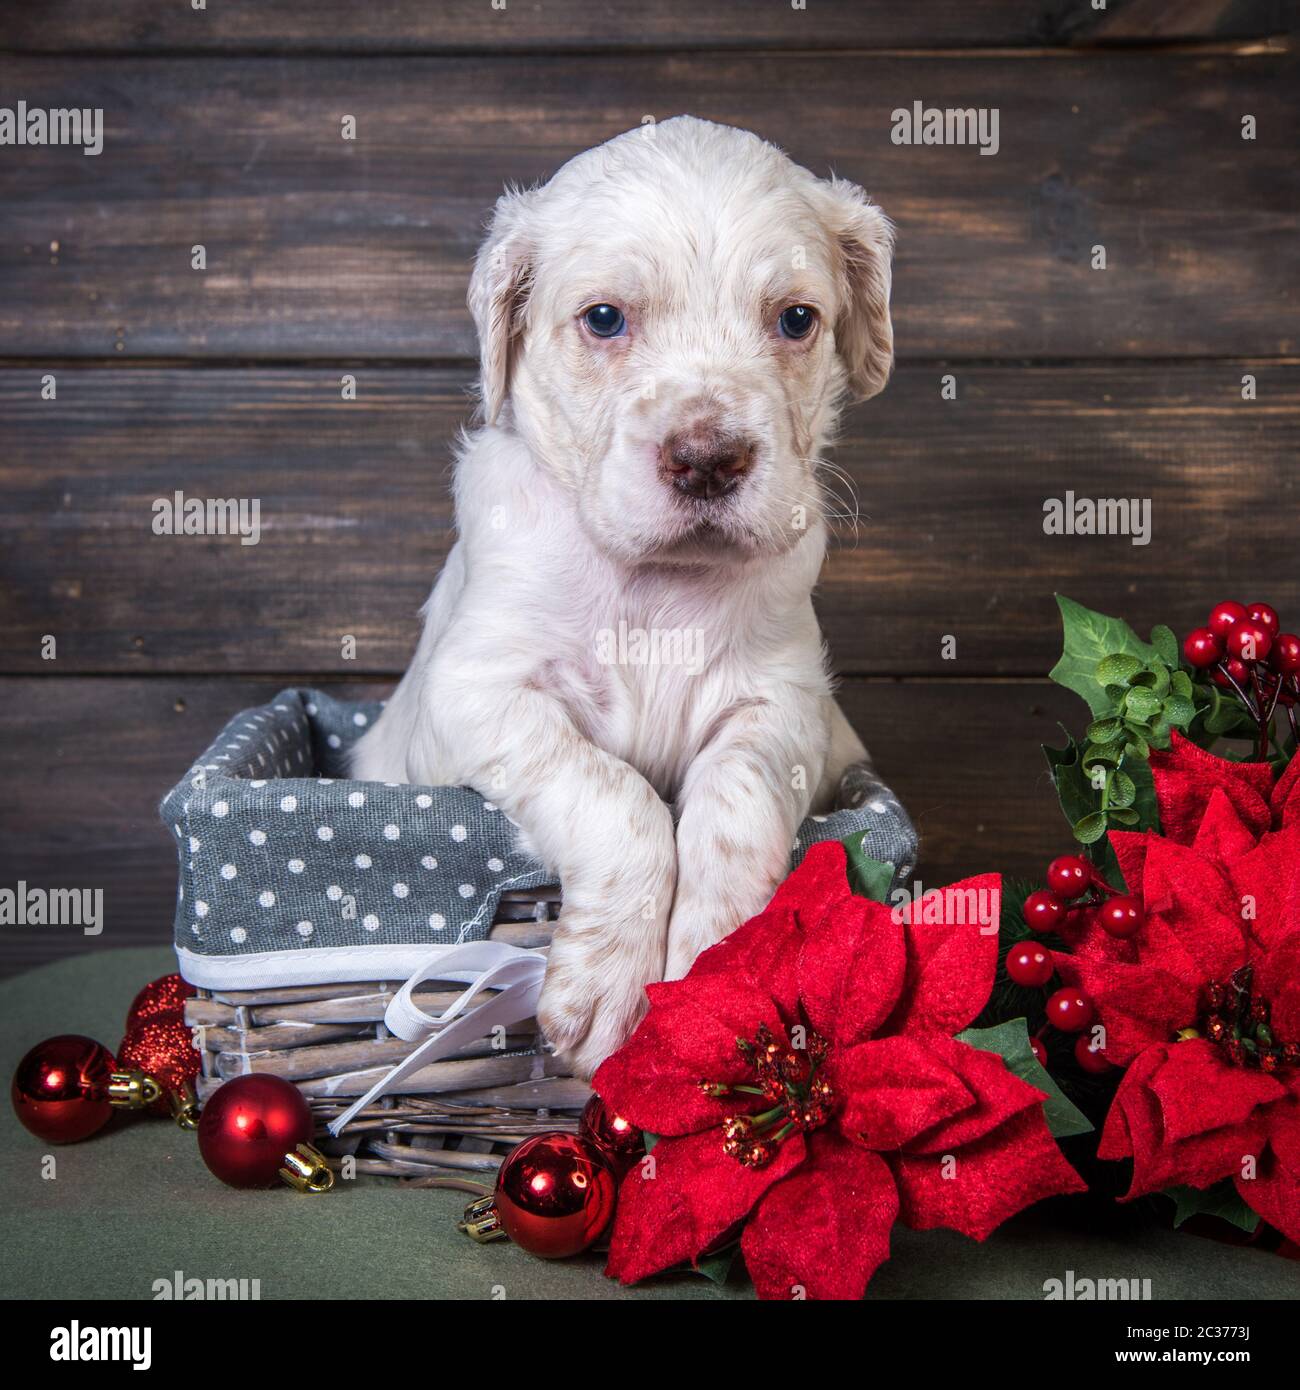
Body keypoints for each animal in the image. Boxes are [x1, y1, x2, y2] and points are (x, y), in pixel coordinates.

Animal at [350, 116, 900, 1073]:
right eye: (605, 319)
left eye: (796, 319)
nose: (708, 458)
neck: (656, 583)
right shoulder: (476, 696)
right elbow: (613, 796)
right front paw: (607, 989)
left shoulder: (790, 705)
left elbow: (735, 795)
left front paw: (717, 958)